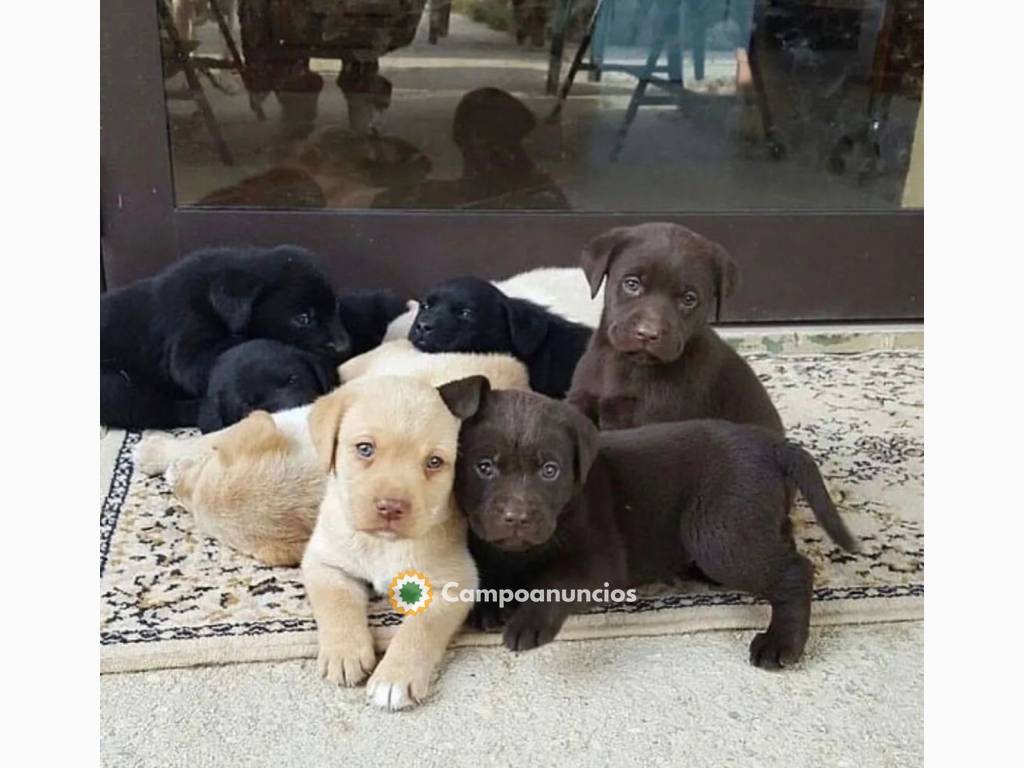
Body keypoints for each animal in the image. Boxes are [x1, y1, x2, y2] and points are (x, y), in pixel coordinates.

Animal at [301, 376, 485, 712]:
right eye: (365, 448)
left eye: (434, 462)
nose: (391, 507)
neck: (382, 544)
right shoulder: (323, 561)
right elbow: (336, 601)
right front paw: (344, 651)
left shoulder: (456, 583)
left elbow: (421, 627)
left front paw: (395, 677)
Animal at [456, 387, 856, 671]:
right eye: (484, 467)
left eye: (549, 470)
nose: (516, 516)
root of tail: (771, 444)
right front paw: (489, 604)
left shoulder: (601, 561)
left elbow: (555, 583)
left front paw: (528, 620)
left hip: (719, 535)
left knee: (796, 570)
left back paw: (781, 644)